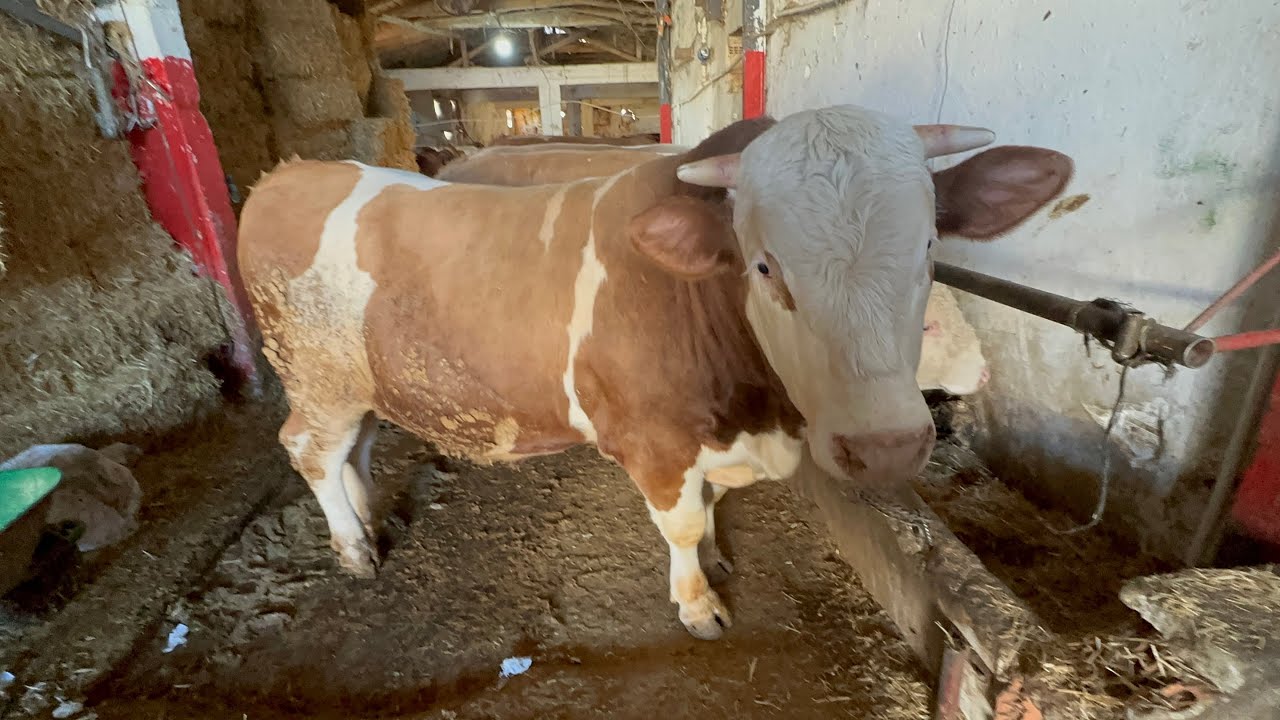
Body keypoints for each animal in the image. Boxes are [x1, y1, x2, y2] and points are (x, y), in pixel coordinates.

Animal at [238, 106, 1071, 640]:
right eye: (764, 265)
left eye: (930, 247)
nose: (887, 445)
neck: (757, 412)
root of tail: (288, 173)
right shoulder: (655, 440)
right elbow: (683, 521)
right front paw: (698, 602)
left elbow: (710, 508)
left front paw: (718, 557)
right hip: (315, 378)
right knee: (308, 449)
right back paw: (352, 549)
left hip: (364, 382)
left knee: (355, 449)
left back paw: (368, 518)